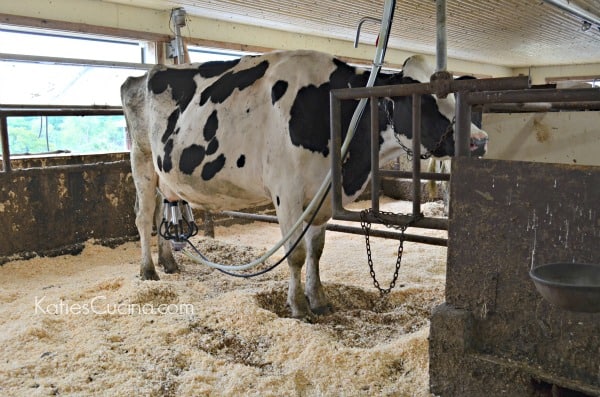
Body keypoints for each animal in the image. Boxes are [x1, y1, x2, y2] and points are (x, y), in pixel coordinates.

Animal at [122, 49, 488, 320]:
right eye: (422, 98)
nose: (480, 140)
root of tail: (142, 75)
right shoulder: (287, 193)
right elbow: (296, 254)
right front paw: (298, 306)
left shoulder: (321, 196)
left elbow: (316, 250)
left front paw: (319, 298)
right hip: (141, 159)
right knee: (142, 215)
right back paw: (148, 270)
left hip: (164, 174)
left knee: (161, 212)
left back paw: (169, 262)